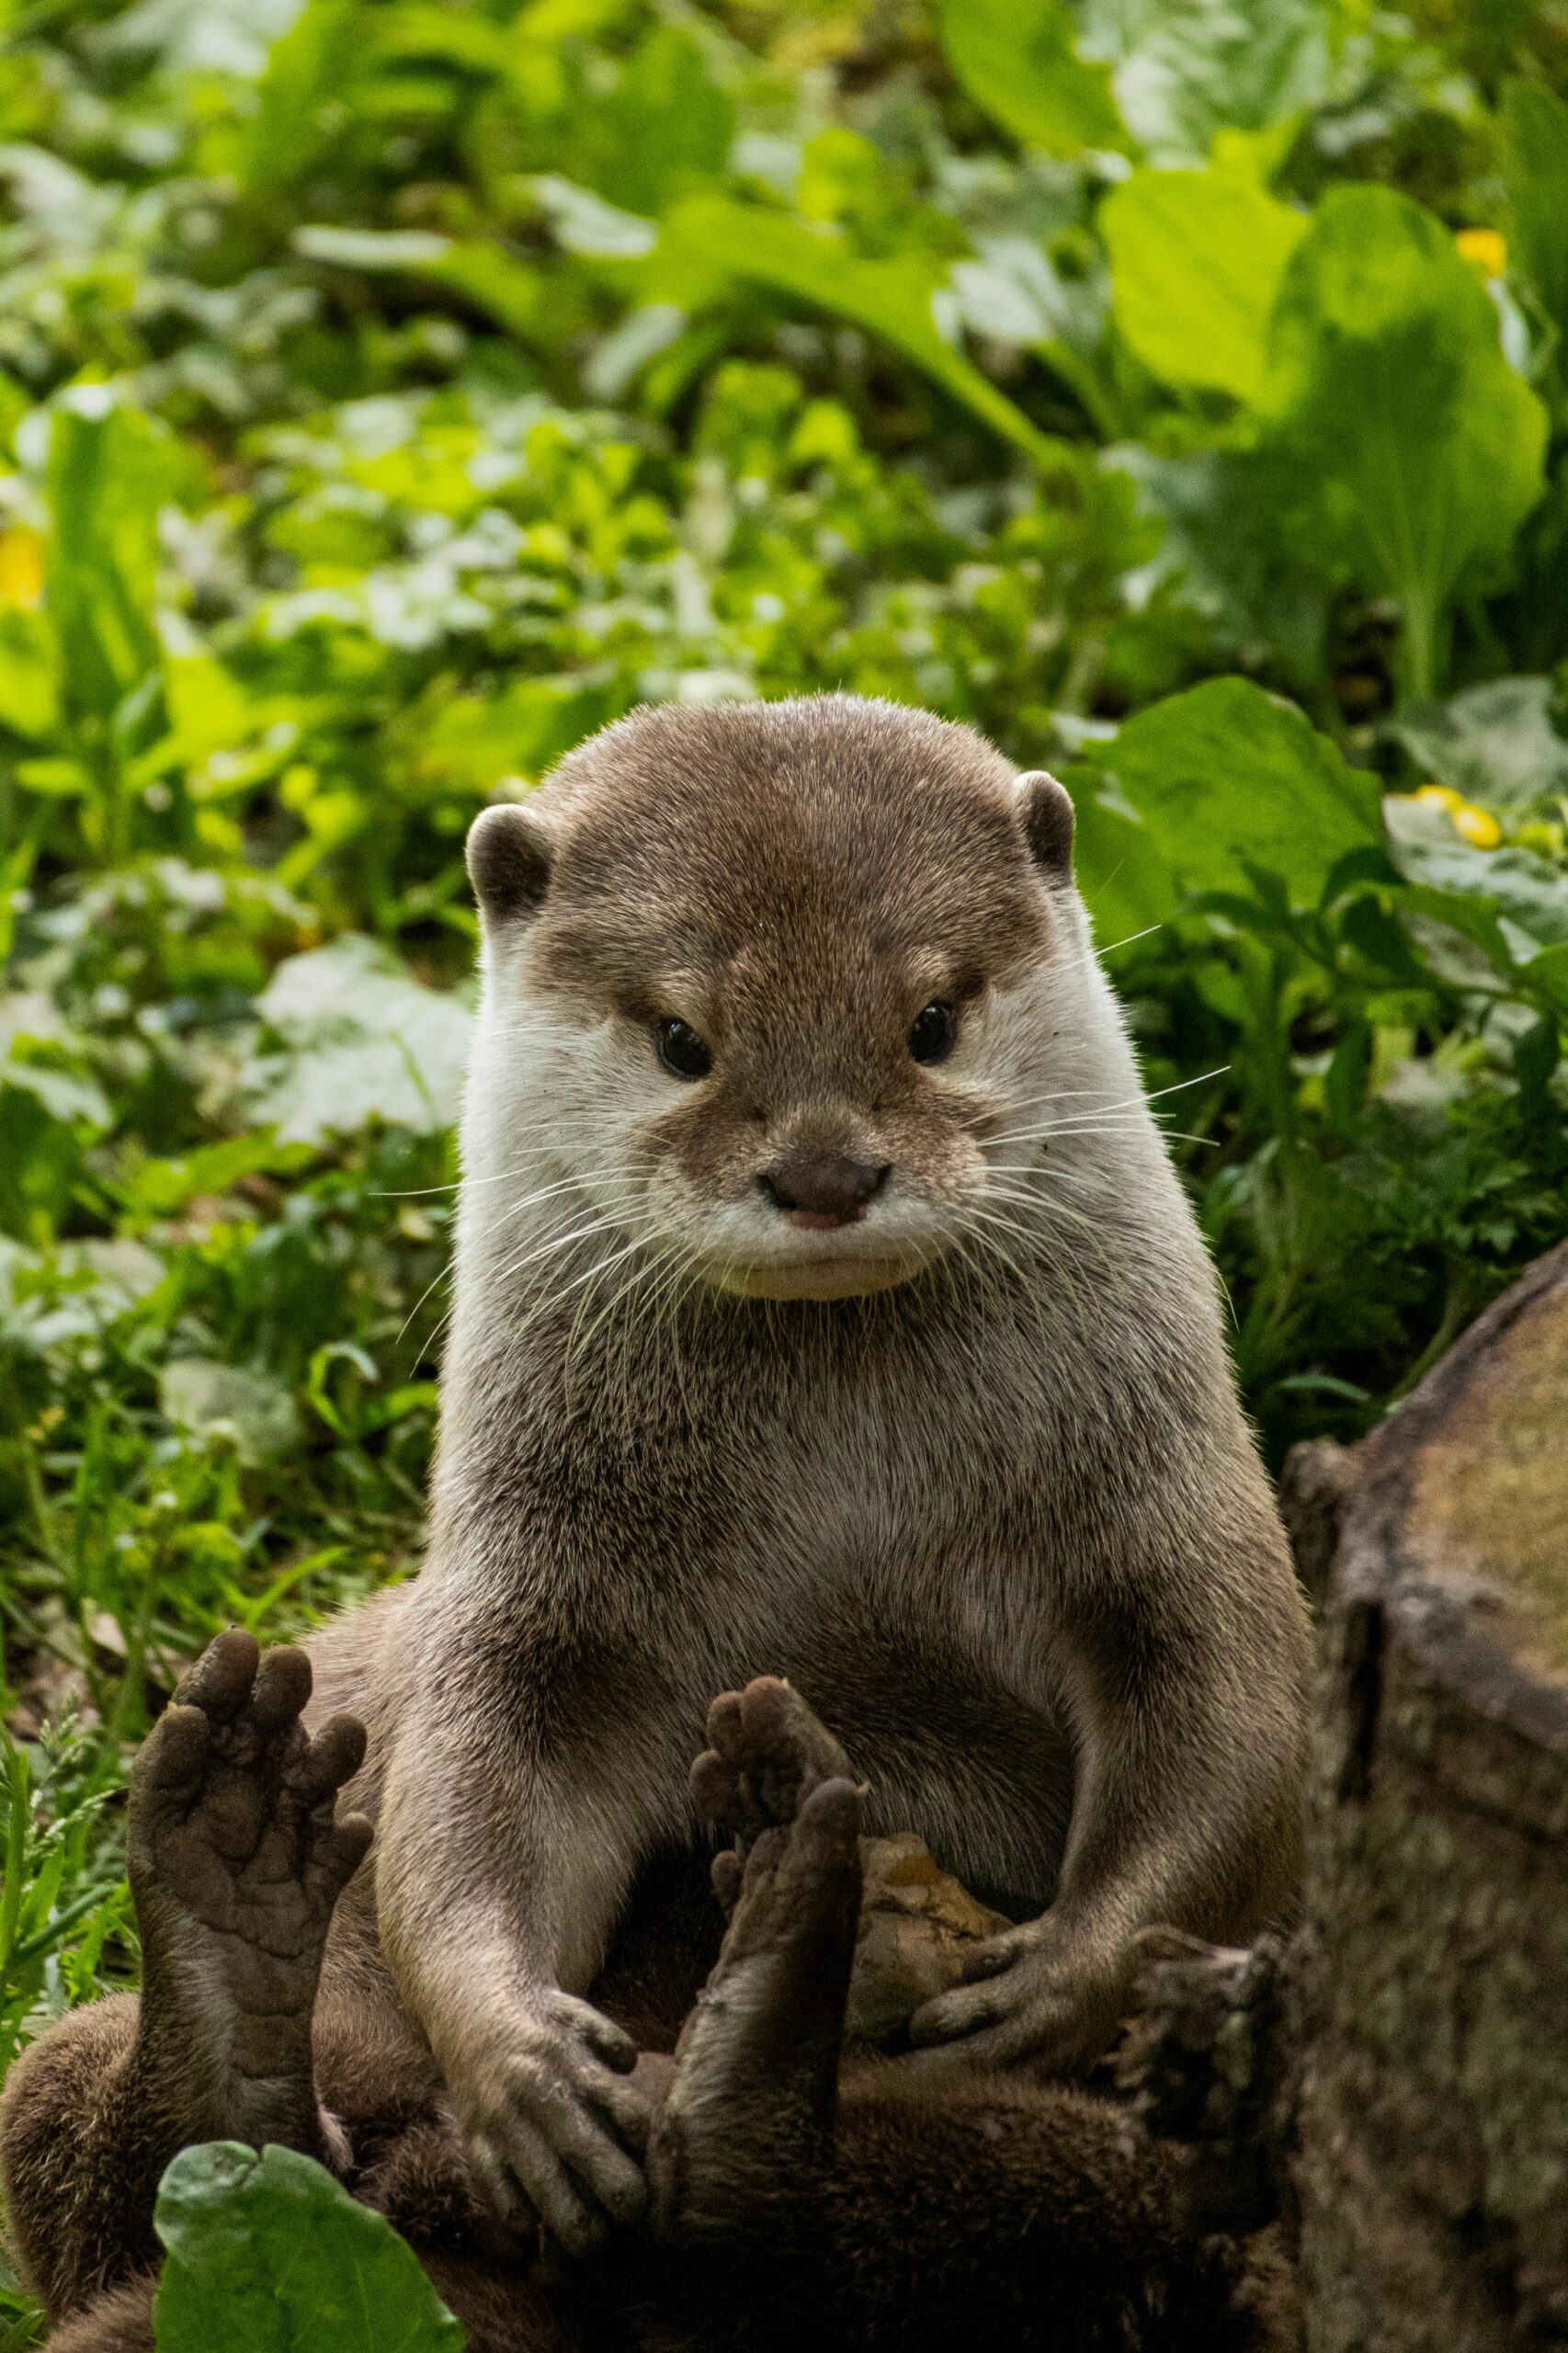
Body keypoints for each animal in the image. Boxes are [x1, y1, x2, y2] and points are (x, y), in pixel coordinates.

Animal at [4, 693, 1311, 2279]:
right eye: (683, 1039)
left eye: (931, 1022)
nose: (822, 1172)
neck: (846, 1522)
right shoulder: (536, 1591)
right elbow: (475, 1785)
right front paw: (524, 2066)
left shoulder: (1164, 1517)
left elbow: (1229, 1728)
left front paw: (1053, 1981)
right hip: (102, 2069)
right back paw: (233, 1908)